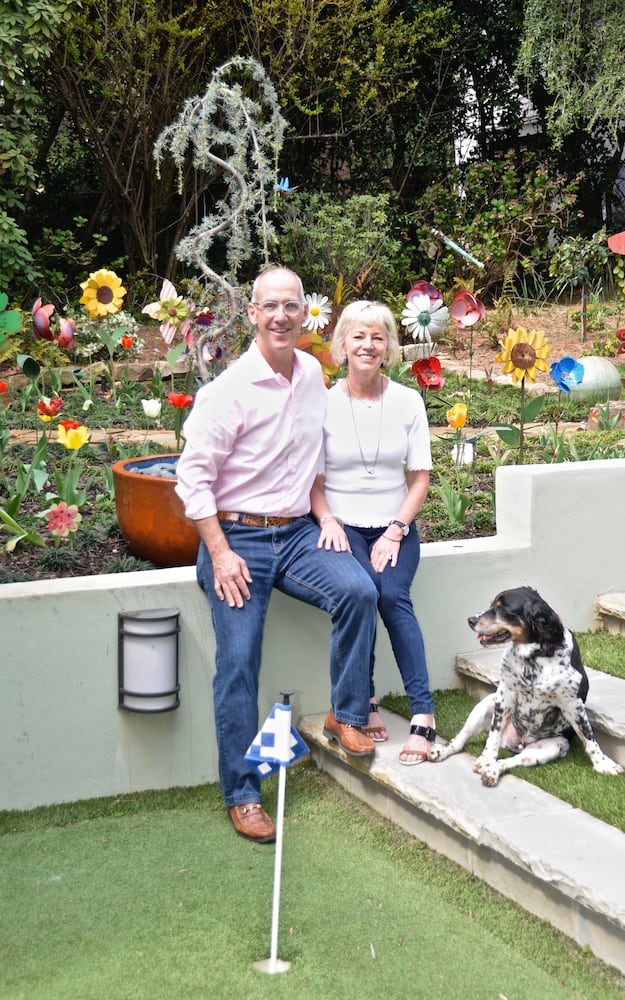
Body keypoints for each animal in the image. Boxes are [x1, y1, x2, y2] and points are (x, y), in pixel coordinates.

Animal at [426, 584, 620, 788]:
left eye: (503, 609)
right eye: (492, 605)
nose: (471, 620)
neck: (533, 655)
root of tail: (515, 742)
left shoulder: (572, 703)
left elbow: (589, 736)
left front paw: (603, 764)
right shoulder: (504, 695)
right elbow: (492, 736)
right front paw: (486, 759)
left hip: (551, 747)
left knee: (511, 760)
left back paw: (492, 771)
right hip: (486, 704)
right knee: (461, 739)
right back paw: (445, 752)